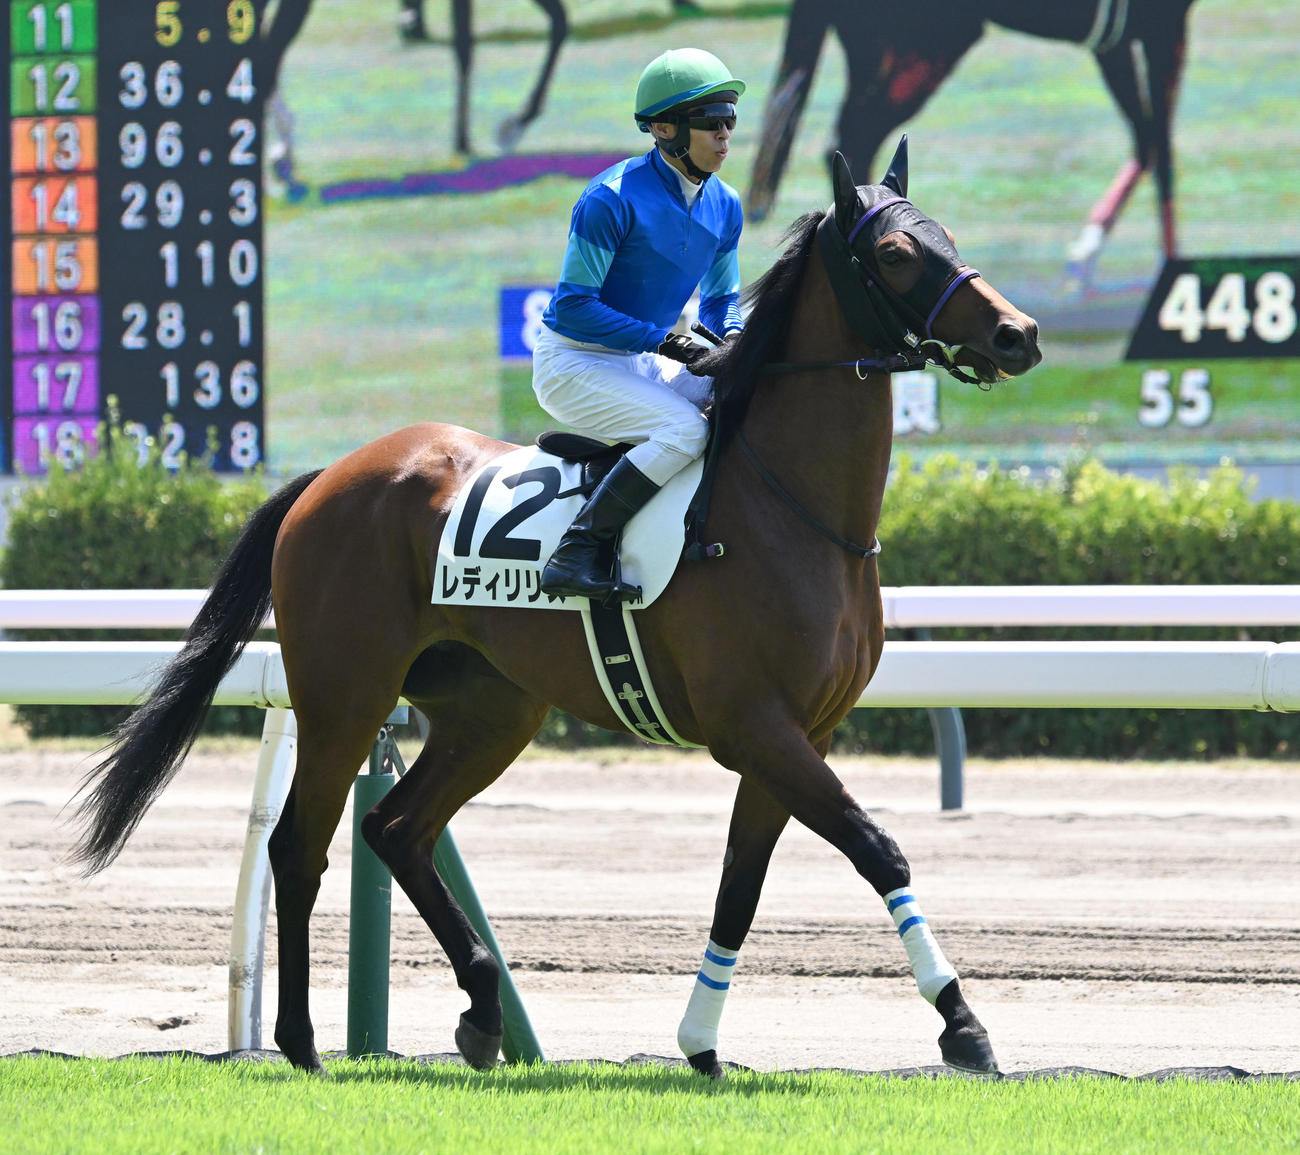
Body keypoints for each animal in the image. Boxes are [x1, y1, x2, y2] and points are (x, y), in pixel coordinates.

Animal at [69, 137, 1040, 1077]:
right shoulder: (754, 724)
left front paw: (701, 1041)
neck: (791, 504)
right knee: (300, 847)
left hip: (491, 707)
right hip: (345, 693)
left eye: (946, 233)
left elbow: (741, 882)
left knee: (396, 827)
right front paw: (963, 1023)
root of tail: (329, 476)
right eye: (897, 252)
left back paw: (481, 1010)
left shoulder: (804, 729)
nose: (1018, 333)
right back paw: (303, 1040)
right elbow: (876, 846)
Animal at [747, 0, 1198, 288]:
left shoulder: (1116, 39)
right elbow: (1163, 152)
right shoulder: (1160, 24)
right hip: (925, 50)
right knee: (855, 141)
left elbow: (1148, 144)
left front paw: (1086, 252)